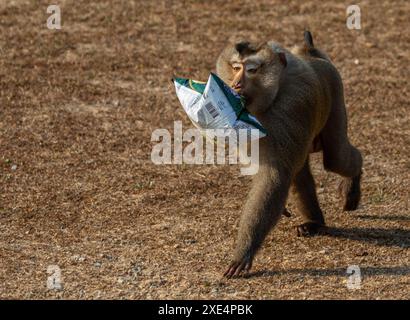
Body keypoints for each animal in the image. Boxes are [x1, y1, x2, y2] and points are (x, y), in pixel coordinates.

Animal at [215, 31, 362, 278]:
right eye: (235, 67)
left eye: (252, 70)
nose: (236, 84)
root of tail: (312, 55)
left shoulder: (291, 107)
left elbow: (275, 174)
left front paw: (244, 252)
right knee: (299, 173)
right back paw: (314, 221)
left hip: (335, 96)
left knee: (336, 158)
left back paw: (353, 178)